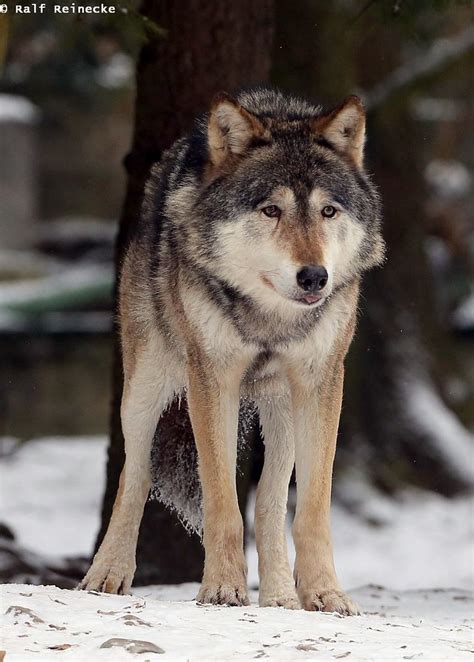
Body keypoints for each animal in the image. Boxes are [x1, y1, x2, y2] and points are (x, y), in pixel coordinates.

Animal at [79, 88, 384, 616]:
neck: (271, 318)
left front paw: (324, 593)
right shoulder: (211, 378)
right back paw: (108, 573)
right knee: (134, 476)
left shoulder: (322, 382)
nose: (314, 277)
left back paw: (280, 597)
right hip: (145, 390)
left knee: (270, 503)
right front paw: (222, 589)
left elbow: (311, 510)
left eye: (328, 212)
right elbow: (222, 501)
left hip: (281, 409)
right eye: (271, 211)